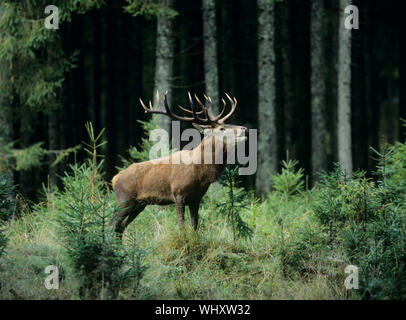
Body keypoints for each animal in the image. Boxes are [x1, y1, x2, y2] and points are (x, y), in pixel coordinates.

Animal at [112, 91, 249, 236]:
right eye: (222, 128)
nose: (244, 128)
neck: (200, 173)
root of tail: (115, 178)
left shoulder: (196, 199)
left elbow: (195, 226)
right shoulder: (178, 193)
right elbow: (181, 226)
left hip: (139, 204)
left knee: (121, 227)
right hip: (124, 199)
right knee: (113, 224)